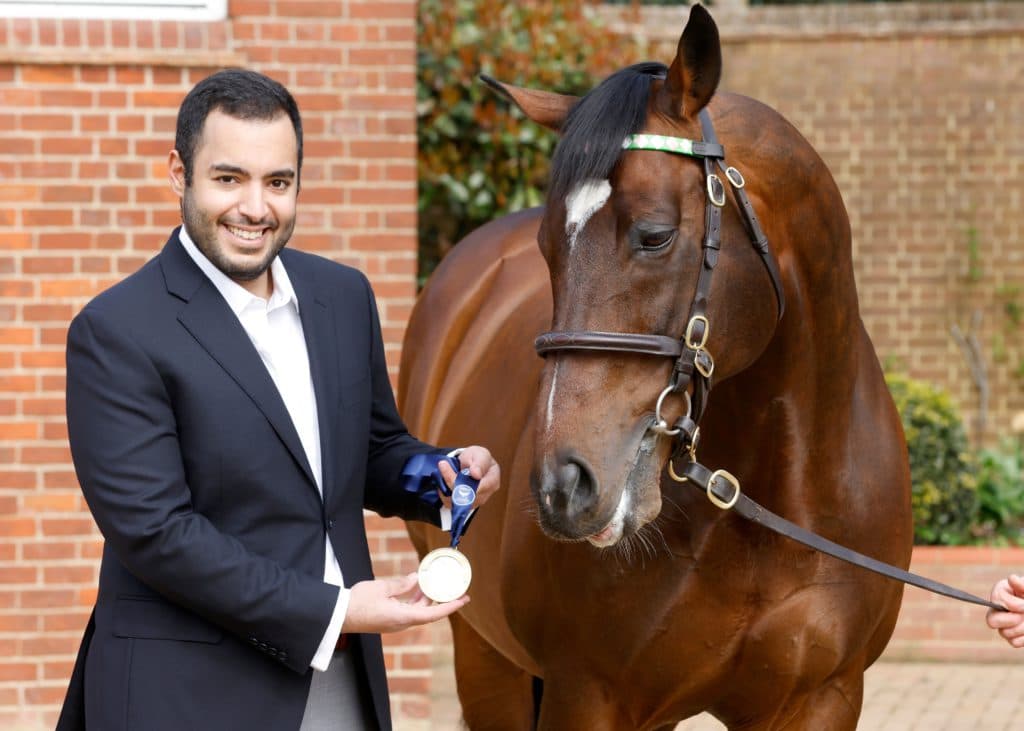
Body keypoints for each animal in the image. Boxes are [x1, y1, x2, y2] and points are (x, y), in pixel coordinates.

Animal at [399, 7, 913, 728]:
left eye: (655, 235)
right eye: (547, 247)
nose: (563, 485)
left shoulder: (825, 697)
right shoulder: (587, 694)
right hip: (483, 659)